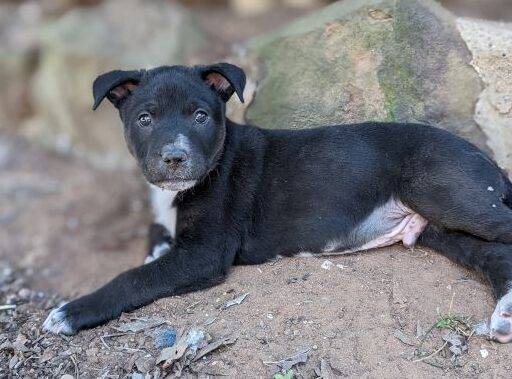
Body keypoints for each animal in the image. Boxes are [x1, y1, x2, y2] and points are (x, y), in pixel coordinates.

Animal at [42, 63, 512, 344]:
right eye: (145, 119)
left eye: (200, 116)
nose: (174, 157)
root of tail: (485, 158)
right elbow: (149, 253)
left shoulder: (202, 254)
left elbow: (134, 277)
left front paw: (71, 311)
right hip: (444, 228)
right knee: (497, 257)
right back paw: (505, 315)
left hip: (448, 194)